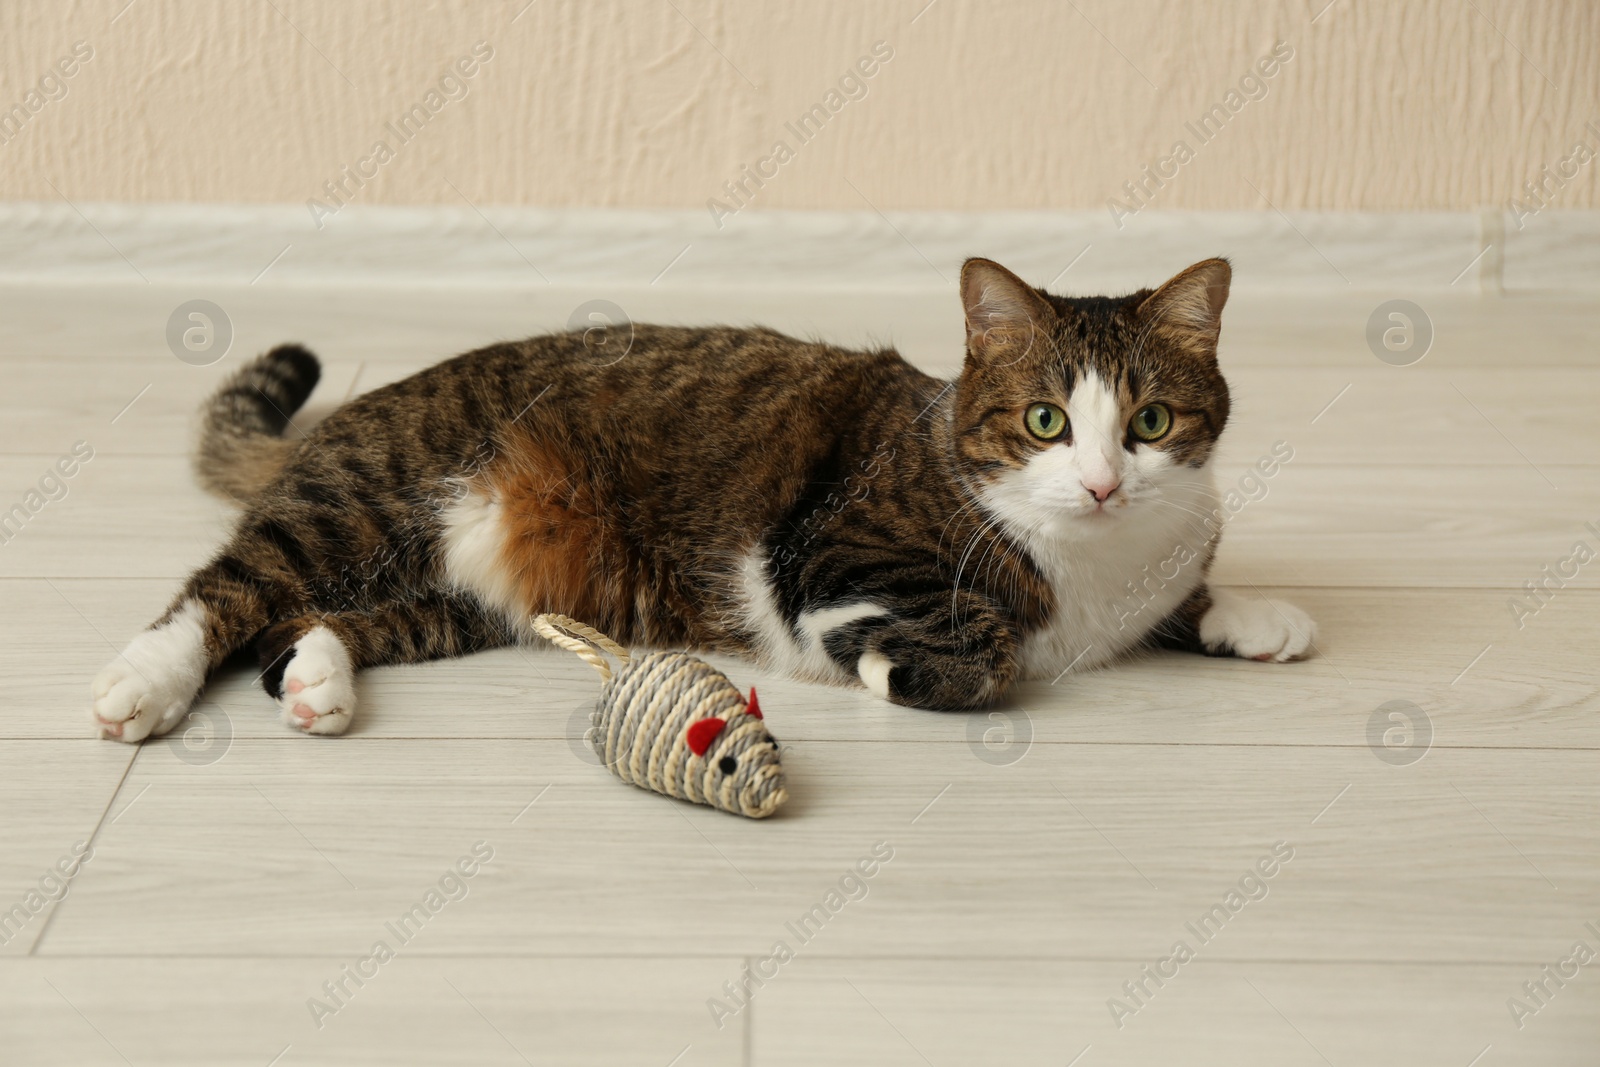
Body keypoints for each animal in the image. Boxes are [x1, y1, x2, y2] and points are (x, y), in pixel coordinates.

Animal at [90, 259, 1312, 742]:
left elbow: (1188, 590)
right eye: (1046, 422)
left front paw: (1254, 613)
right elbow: (985, 639)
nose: (1103, 481)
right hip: (370, 497)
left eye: (1151, 422)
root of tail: (358, 407)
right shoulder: (823, 550)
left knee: (317, 624)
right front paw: (896, 666)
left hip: (465, 593)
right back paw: (142, 685)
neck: (1097, 564)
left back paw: (319, 680)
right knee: (225, 591)